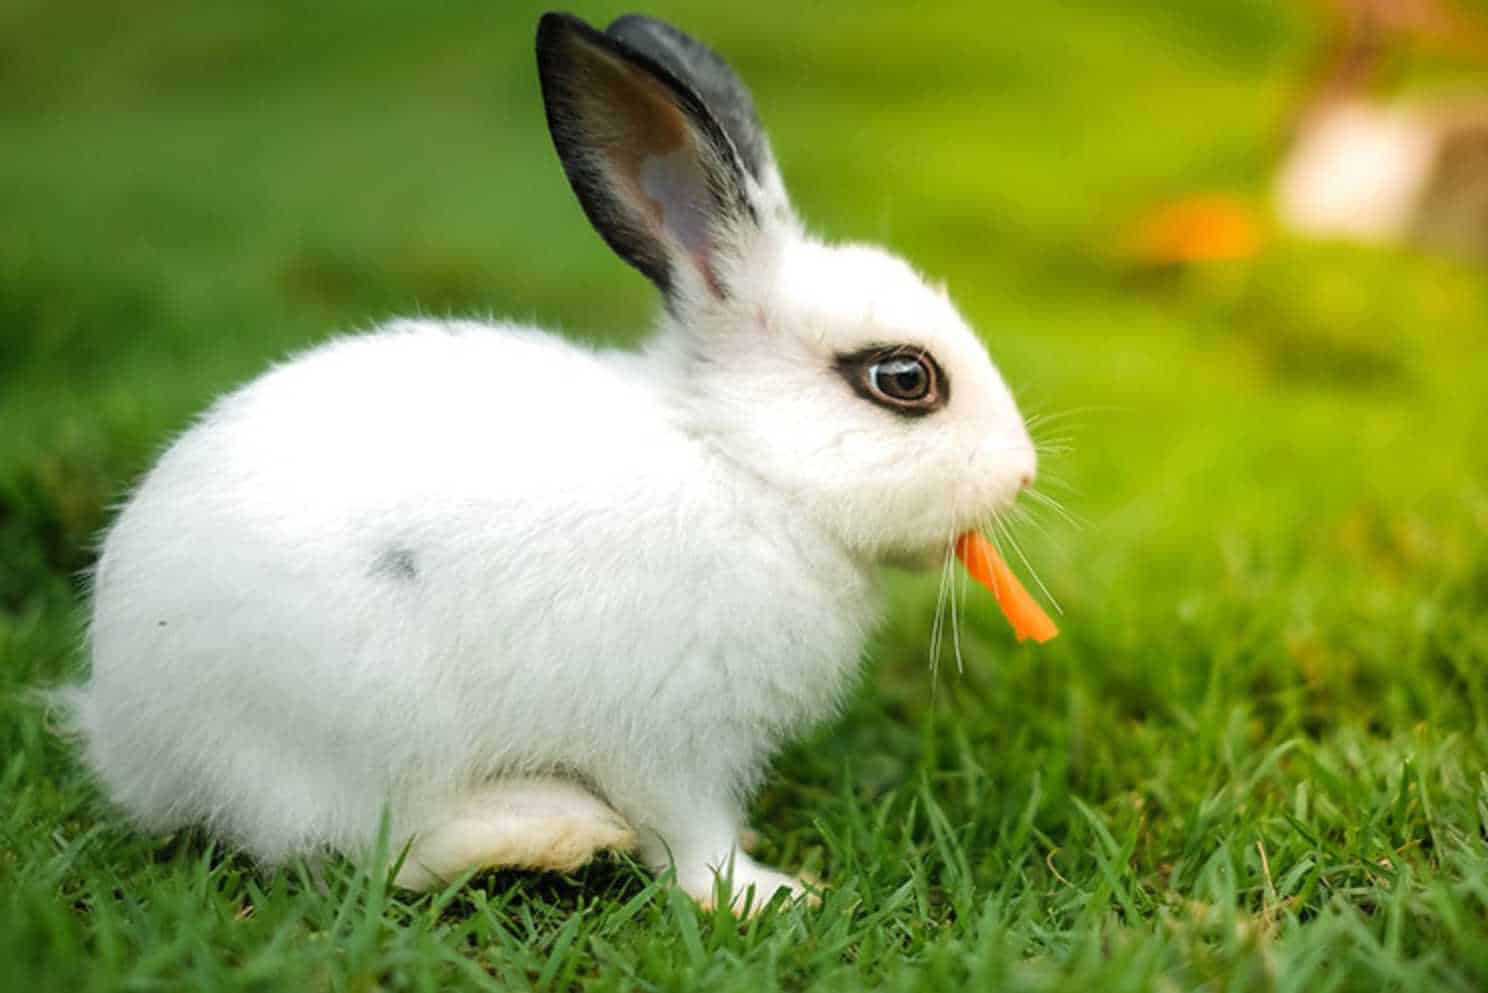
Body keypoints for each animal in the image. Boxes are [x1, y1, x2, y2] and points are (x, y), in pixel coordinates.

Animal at [58, 11, 1035, 911]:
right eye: (904, 378)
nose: (1022, 470)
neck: (744, 465)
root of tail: (127, 735)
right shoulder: (672, 733)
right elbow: (691, 838)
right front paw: (770, 892)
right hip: (360, 729)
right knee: (375, 846)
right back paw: (549, 830)